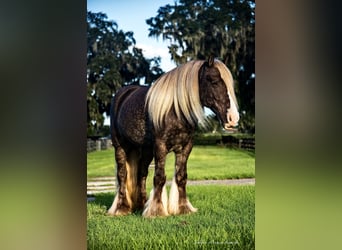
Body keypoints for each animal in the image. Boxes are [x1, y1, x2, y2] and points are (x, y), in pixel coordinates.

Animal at [106, 56, 238, 217]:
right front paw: (156, 211)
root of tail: (123, 93)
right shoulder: (160, 147)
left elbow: (181, 177)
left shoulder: (185, 148)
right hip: (120, 147)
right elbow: (160, 177)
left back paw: (141, 206)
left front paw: (183, 208)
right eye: (213, 80)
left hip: (145, 150)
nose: (233, 118)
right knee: (122, 175)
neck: (174, 110)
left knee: (141, 174)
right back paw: (121, 208)